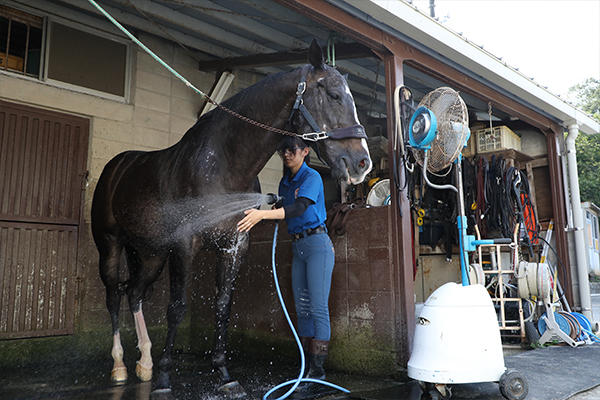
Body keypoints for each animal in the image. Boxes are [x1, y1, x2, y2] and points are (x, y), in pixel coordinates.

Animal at [90, 40, 370, 394]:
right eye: (333, 95)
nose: (362, 162)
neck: (222, 166)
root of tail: (118, 166)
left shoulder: (234, 247)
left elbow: (223, 306)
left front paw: (224, 375)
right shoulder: (184, 246)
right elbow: (177, 308)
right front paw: (166, 378)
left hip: (151, 254)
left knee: (135, 293)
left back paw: (145, 363)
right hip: (110, 245)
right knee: (114, 295)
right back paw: (120, 367)